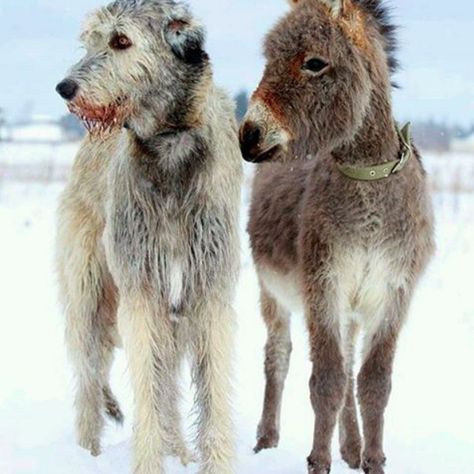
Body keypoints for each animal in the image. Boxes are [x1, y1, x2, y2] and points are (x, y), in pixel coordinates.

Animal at [53, 1, 243, 472]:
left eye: (121, 40)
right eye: (90, 41)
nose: (64, 88)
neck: (169, 145)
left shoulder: (209, 292)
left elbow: (211, 392)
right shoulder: (140, 292)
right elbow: (148, 391)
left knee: (168, 384)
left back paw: (180, 451)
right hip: (89, 293)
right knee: (90, 381)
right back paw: (86, 452)